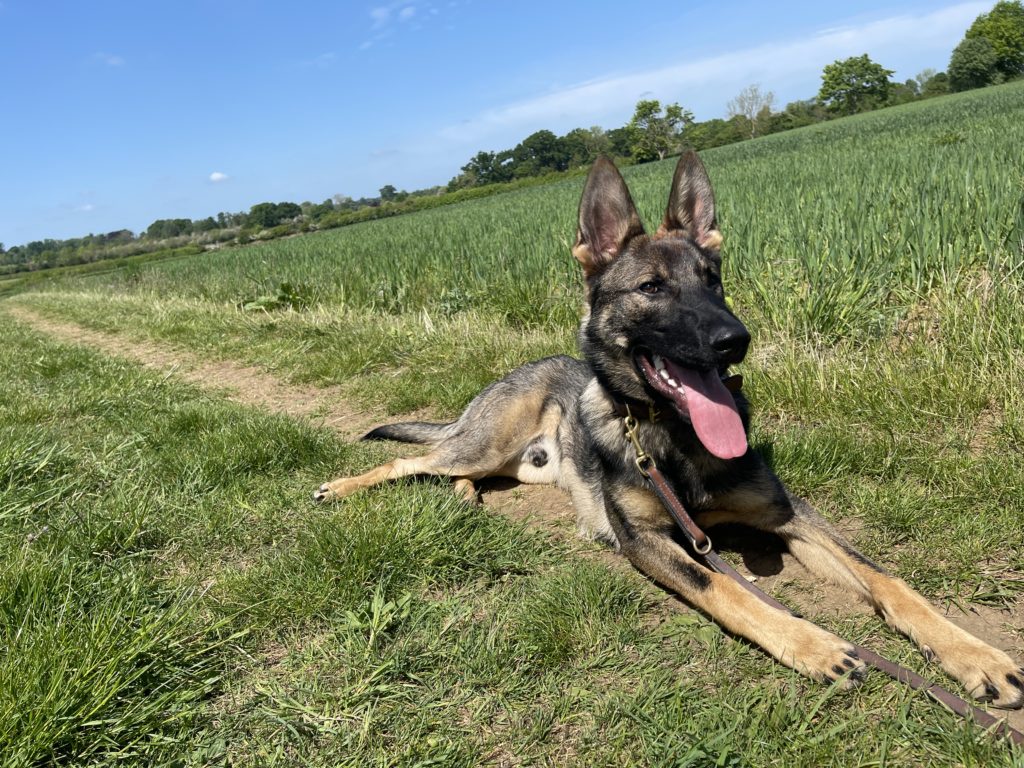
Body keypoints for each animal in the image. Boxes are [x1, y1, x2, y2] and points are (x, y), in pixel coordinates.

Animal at [313, 151, 1024, 708]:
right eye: (652, 288)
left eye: (713, 281)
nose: (735, 340)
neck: (673, 437)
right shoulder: (647, 543)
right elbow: (730, 591)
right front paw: (814, 644)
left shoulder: (789, 515)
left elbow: (887, 580)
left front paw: (976, 656)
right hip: (484, 442)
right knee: (413, 460)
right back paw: (341, 487)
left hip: (507, 463)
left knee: (458, 475)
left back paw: (463, 501)